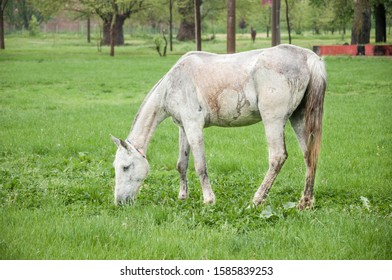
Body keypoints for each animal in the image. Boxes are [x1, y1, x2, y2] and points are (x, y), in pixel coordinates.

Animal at [110, 43, 324, 209]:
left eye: (126, 167)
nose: (119, 202)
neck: (173, 83)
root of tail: (309, 57)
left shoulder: (194, 126)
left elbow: (200, 166)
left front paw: (209, 200)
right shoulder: (183, 128)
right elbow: (181, 164)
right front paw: (183, 197)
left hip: (273, 120)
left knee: (277, 157)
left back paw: (256, 200)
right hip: (299, 119)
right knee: (309, 156)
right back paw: (305, 202)